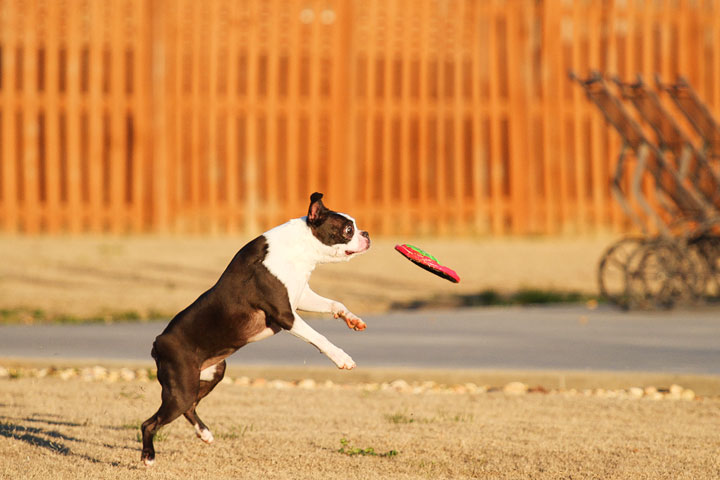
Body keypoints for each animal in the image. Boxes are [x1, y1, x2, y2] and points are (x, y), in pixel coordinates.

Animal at [140, 191, 368, 464]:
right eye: (347, 229)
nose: (366, 234)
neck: (299, 249)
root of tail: (157, 342)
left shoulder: (300, 297)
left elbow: (335, 303)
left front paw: (352, 319)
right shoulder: (285, 314)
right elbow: (319, 337)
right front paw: (342, 358)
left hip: (211, 374)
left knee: (190, 407)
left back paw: (204, 433)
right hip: (181, 387)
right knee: (150, 423)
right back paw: (148, 456)